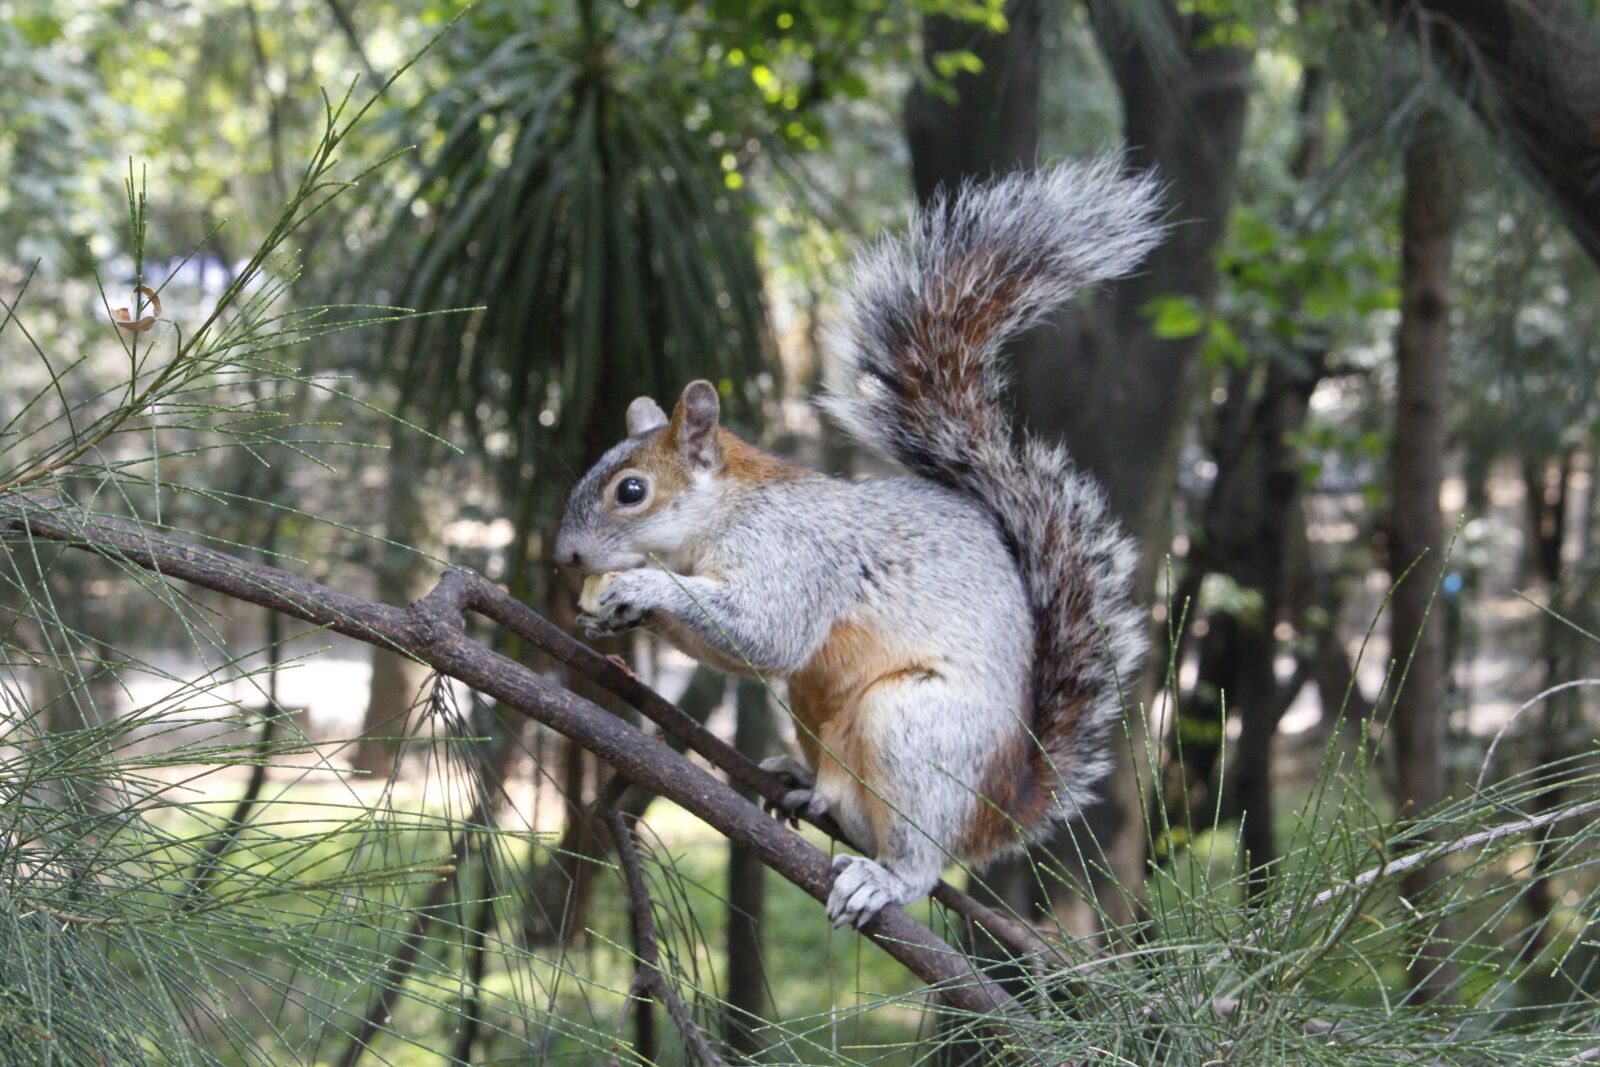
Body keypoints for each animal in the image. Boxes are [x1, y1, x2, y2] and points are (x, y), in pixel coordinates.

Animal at [553, 160, 1160, 928]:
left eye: (630, 491)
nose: (565, 557)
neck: (724, 517)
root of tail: (997, 809)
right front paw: (610, 616)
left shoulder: (796, 555)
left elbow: (771, 633)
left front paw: (640, 587)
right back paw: (801, 780)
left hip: (912, 728)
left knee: (920, 856)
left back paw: (886, 878)